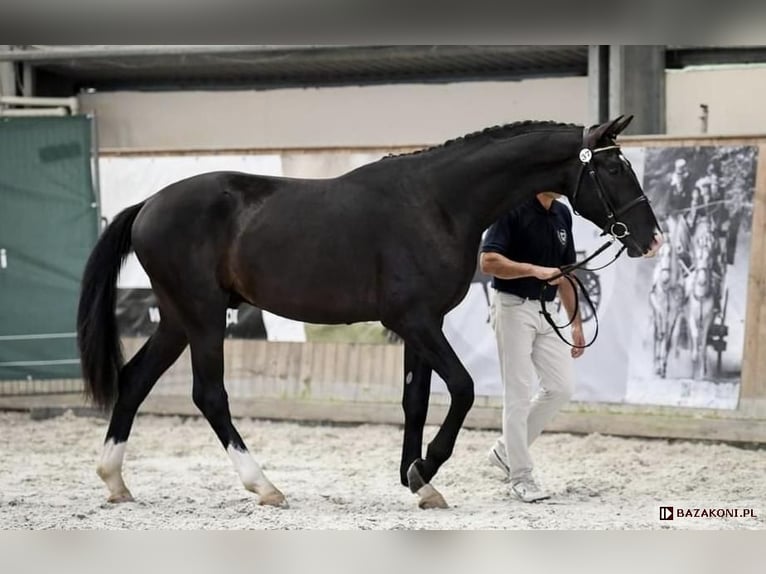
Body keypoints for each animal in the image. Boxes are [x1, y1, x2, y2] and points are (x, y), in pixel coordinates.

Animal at [76, 115, 662, 510]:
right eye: (613, 167)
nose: (651, 239)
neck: (438, 203)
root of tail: (147, 206)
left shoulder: (423, 326)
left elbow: (416, 400)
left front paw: (419, 481)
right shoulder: (415, 321)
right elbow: (464, 389)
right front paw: (426, 467)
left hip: (178, 320)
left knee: (135, 380)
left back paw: (114, 480)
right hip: (201, 318)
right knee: (209, 395)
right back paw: (264, 486)